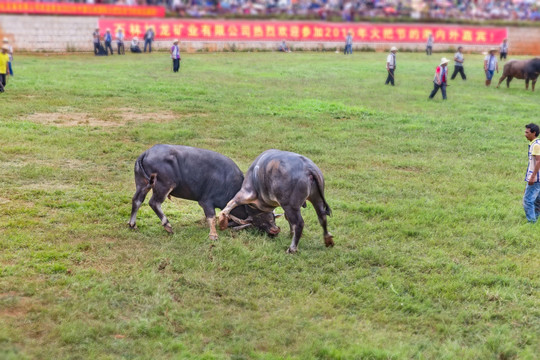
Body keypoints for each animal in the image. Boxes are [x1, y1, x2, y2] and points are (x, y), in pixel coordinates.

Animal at [127, 145, 278, 240]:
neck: (227, 181)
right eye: (260, 218)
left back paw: (132, 224)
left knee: (137, 200)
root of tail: (146, 153)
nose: (275, 230)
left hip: (142, 184)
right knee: (154, 203)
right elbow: (211, 217)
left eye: (272, 216)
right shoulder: (206, 202)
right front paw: (213, 235)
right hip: (163, 186)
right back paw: (167, 226)